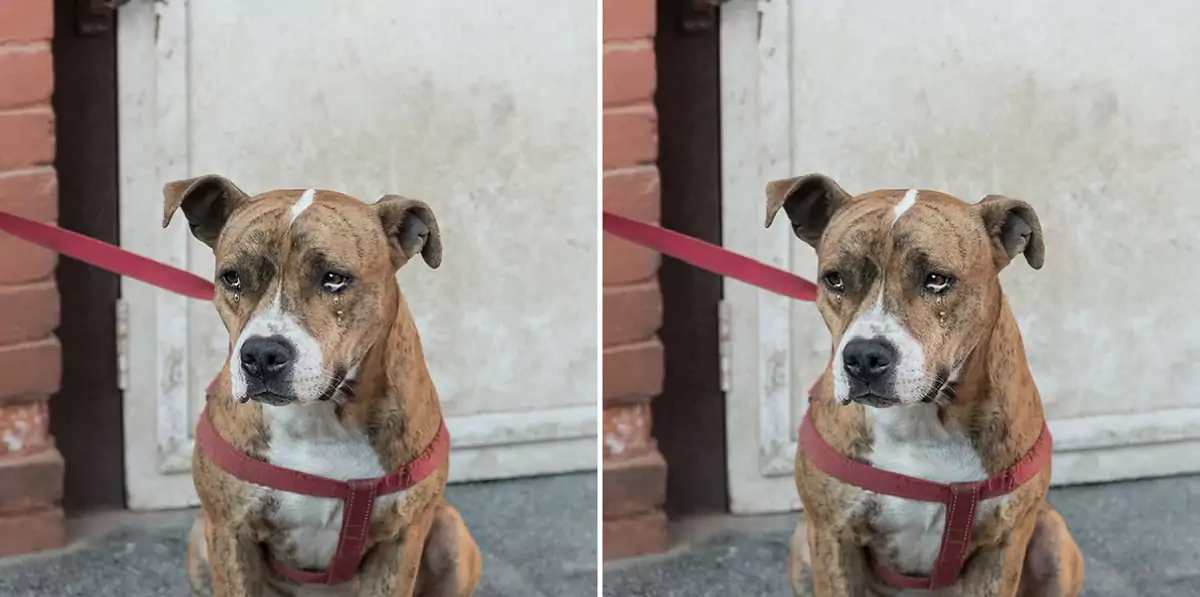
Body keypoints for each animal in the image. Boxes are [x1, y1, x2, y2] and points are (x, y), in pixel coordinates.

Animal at [164, 173, 482, 597]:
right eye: (232, 278)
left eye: (334, 278)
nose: (261, 354)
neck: (319, 420)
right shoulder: (229, 530)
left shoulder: (401, 540)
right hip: (201, 539)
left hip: (450, 533)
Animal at [768, 175, 1089, 594]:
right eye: (834, 279)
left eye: (936, 280)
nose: (864, 357)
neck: (922, 422)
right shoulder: (832, 535)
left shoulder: (1002, 546)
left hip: (1052, 536)